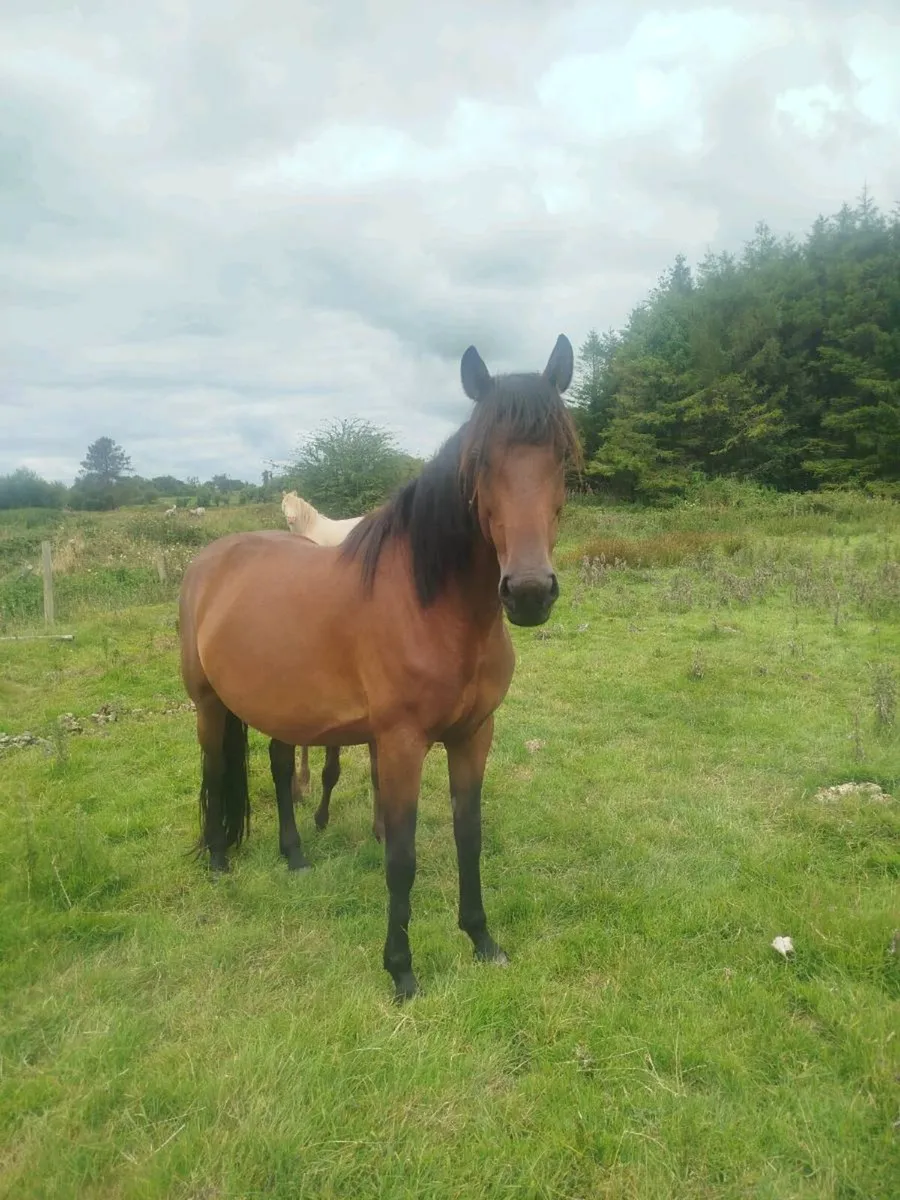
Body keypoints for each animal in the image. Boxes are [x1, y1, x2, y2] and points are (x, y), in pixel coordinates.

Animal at [178, 334, 579, 1001]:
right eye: (478, 461)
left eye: (564, 456)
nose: (527, 592)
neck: (432, 606)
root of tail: (209, 562)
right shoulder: (399, 743)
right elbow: (402, 855)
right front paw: (402, 971)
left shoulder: (474, 736)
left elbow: (469, 836)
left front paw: (482, 941)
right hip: (208, 705)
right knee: (214, 772)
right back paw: (217, 863)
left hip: (278, 707)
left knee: (279, 765)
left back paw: (294, 855)